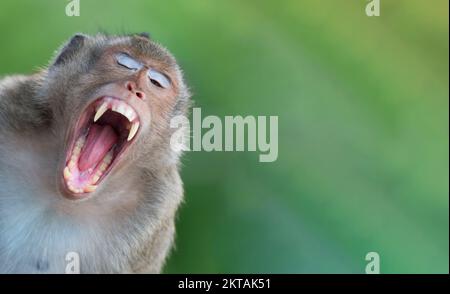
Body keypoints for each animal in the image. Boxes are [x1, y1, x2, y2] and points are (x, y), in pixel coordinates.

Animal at [0, 32, 191, 274]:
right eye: (124, 63)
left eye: (156, 83)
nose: (134, 89)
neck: (60, 199)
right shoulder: (10, 107)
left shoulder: (156, 207)